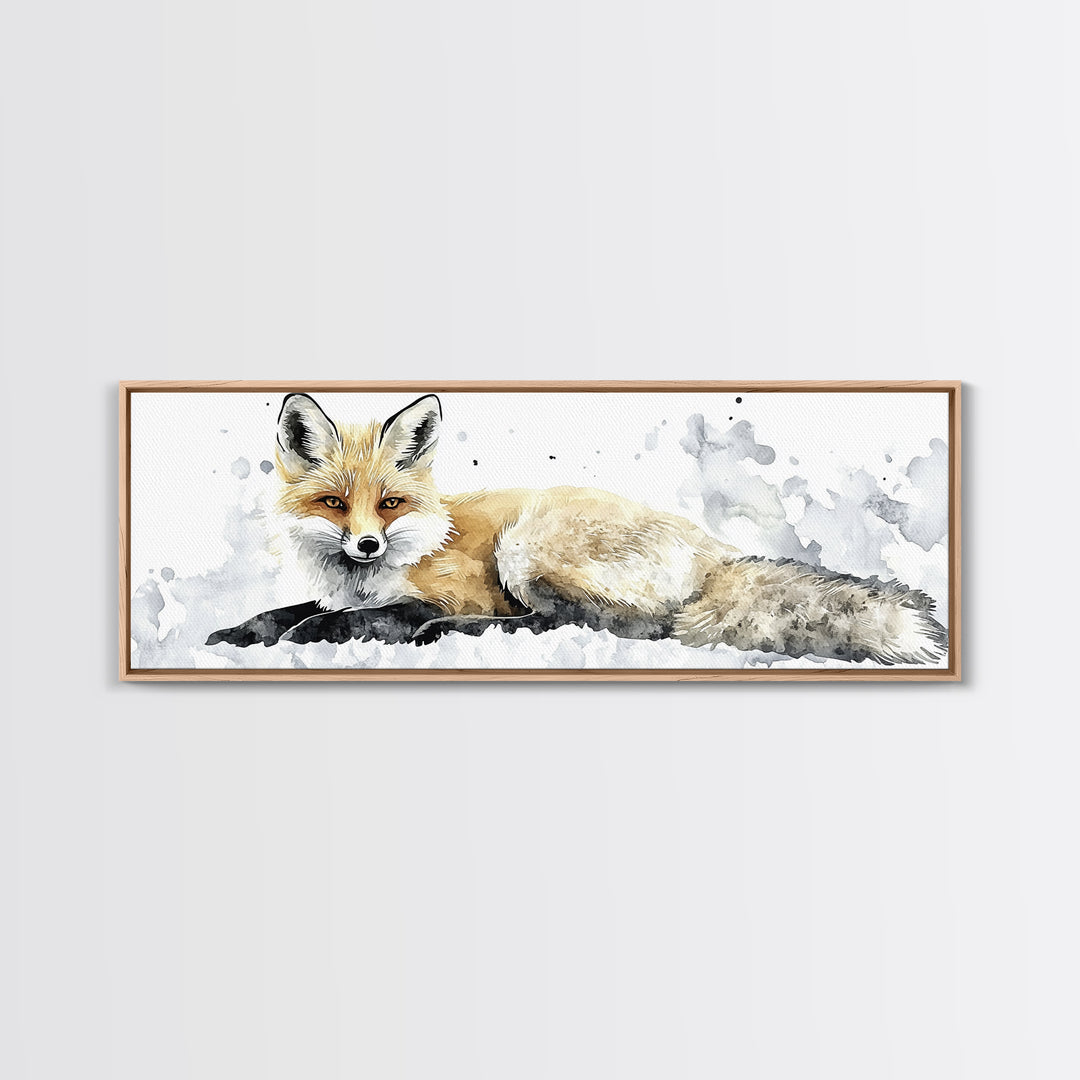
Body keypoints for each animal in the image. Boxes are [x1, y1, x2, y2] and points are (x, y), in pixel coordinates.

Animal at [207, 393, 948, 664]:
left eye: (388, 504)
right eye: (335, 503)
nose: (366, 543)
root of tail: (713, 553)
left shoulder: (447, 588)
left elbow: (361, 617)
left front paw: (316, 634)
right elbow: (282, 611)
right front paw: (235, 635)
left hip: (525, 551)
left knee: (588, 623)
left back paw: (446, 634)